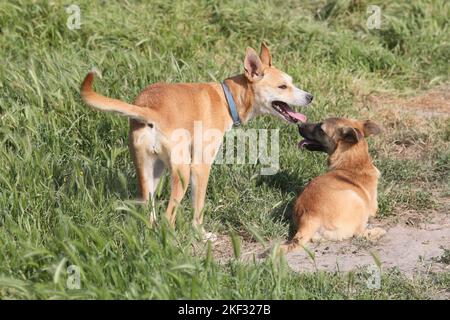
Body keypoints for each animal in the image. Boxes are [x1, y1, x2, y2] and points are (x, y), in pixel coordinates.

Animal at [81, 43, 312, 231]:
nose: (310, 97)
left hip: (150, 173)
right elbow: (198, 207)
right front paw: (200, 234)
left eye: (291, 82)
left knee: (150, 212)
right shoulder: (200, 168)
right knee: (168, 217)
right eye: (283, 86)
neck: (227, 98)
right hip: (181, 172)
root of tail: (150, 108)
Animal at [282, 117, 384, 252]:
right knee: (359, 234)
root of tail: (309, 216)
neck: (353, 163)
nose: (299, 124)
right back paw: (377, 231)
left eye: (321, 129)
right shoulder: (373, 208)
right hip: (357, 201)